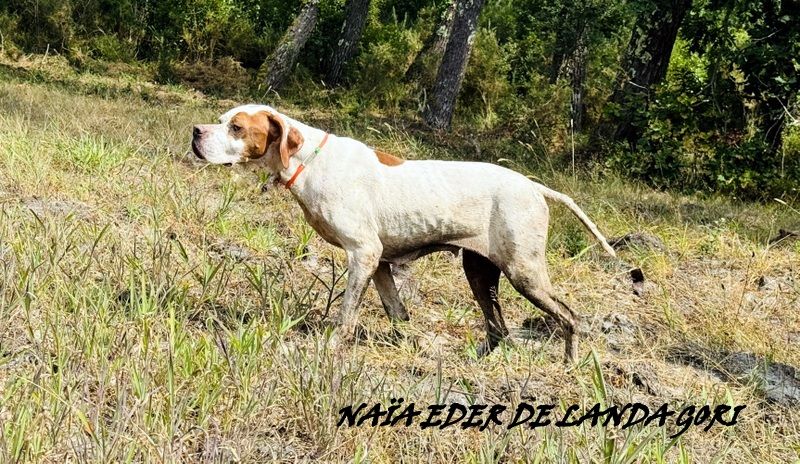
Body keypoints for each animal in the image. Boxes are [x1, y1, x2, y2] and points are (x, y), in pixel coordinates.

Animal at [191, 105, 616, 362]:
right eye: (221, 118)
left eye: (237, 127)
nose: (195, 132)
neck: (309, 160)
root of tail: (534, 187)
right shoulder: (380, 263)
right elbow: (398, 313)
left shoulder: (363, 253)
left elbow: (346, 314)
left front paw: (332, 346)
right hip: (480, 273)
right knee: (499, 329)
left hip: (524, 273)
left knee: (568, 316)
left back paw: (570, 363)